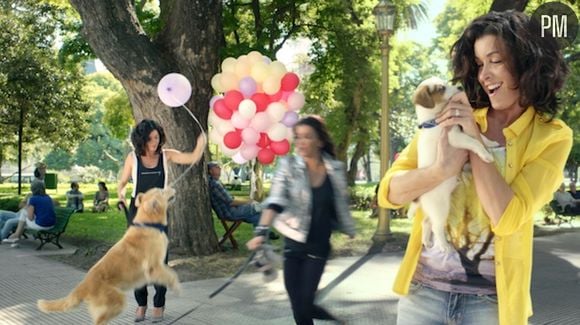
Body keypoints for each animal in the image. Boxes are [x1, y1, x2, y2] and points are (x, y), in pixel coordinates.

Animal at [38, 186, 181, 322]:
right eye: (161, 191)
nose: (173, 188)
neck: (149, 224)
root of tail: (84, 285)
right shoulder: (154, 267)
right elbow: (172, 275)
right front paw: (176, 287)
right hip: (117, 301)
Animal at [408, 77, 494, 252]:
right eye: (441, 88)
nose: (460, 87)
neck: (434, 121)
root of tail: (421, 197)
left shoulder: (460, 130)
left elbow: (480, 136)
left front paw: (492, 143)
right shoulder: (455, 138)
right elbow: (474, 142)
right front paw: (486, 155)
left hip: (436, 208)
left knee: (426, 222)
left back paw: (427, 241)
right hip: (441, 208)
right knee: (436, 227)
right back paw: (443, 246)